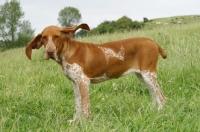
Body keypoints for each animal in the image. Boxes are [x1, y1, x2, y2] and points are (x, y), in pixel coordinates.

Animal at [25, 23, 167, 122]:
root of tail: (152, 41)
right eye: (44, 38)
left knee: (162, 97)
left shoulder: (83, 82)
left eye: (56, 37)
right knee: (154, 95)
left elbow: (85, 107)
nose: (49, 51)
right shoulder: (75, 84)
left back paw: (160, 112)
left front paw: (84, 122)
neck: (67, 52)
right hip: (142, 76)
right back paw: (152, 110)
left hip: (148, 74)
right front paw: (75, 121)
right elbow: (78, 105)